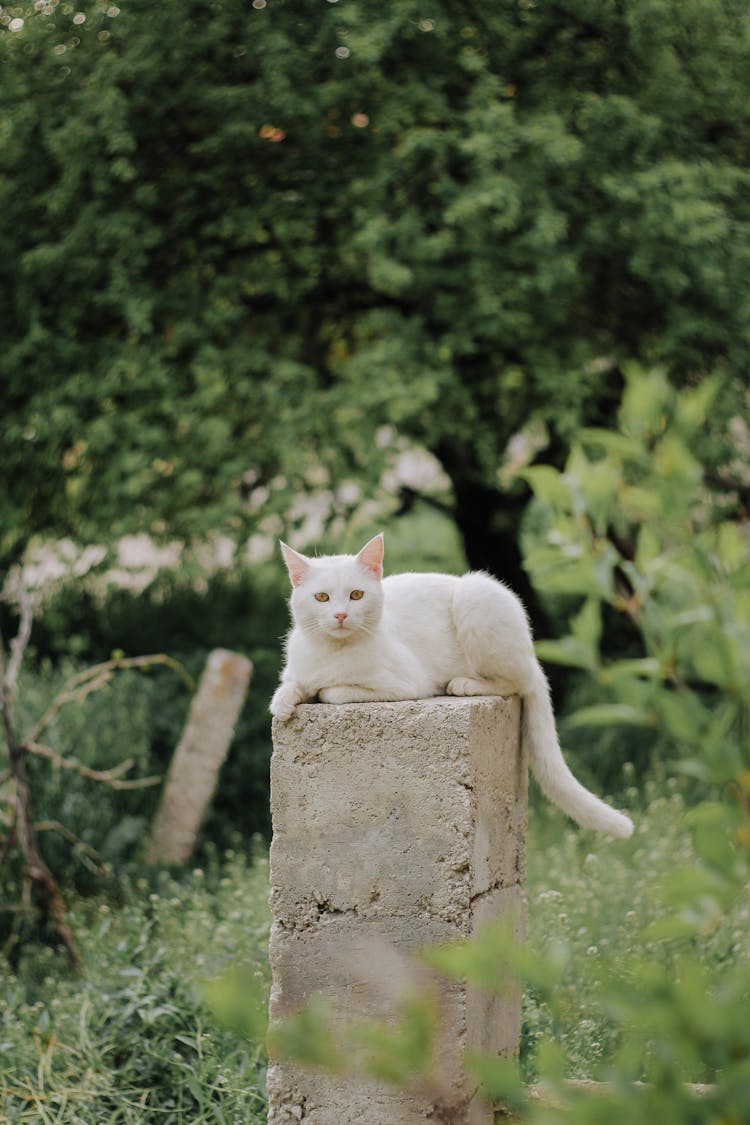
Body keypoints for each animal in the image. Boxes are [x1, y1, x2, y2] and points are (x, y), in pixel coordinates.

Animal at [269, 533, 634, 837]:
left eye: (356, 595)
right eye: (321, 597)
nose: (341, 615)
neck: (331, 651)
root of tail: (531, 653)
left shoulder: (406, 684)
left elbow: (333, 691)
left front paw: (319, 690)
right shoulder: (297, 671)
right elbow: (292, 684)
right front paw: (284, 702)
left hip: (477, 598)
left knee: (515, 683)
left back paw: (465, 684)